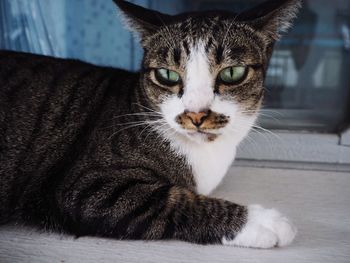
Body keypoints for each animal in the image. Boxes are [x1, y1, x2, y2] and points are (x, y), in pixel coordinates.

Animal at [0, 0, 300, 249]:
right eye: (167, 75)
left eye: (232, 73)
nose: (196, 114)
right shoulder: (84, 187)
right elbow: (175, 201)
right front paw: (262, 222)